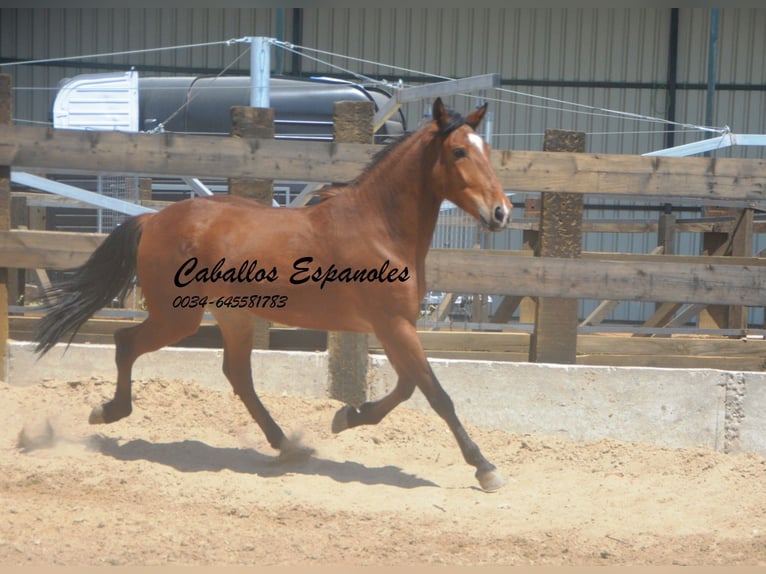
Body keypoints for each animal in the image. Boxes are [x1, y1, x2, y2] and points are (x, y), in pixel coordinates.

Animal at [37, 99, 516, 496]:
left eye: (488, 151)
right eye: (458, 152)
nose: (501, 213)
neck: (380, 228)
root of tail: (153, 219)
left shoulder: (394, 327)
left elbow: (406, 388)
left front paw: (347, 417)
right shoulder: (393, 326)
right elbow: (436, 394)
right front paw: (485, 468)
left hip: (232, 316)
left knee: (237, 375)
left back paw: (286, 446)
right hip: (179, 318)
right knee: (127, 344)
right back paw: (108, 412)